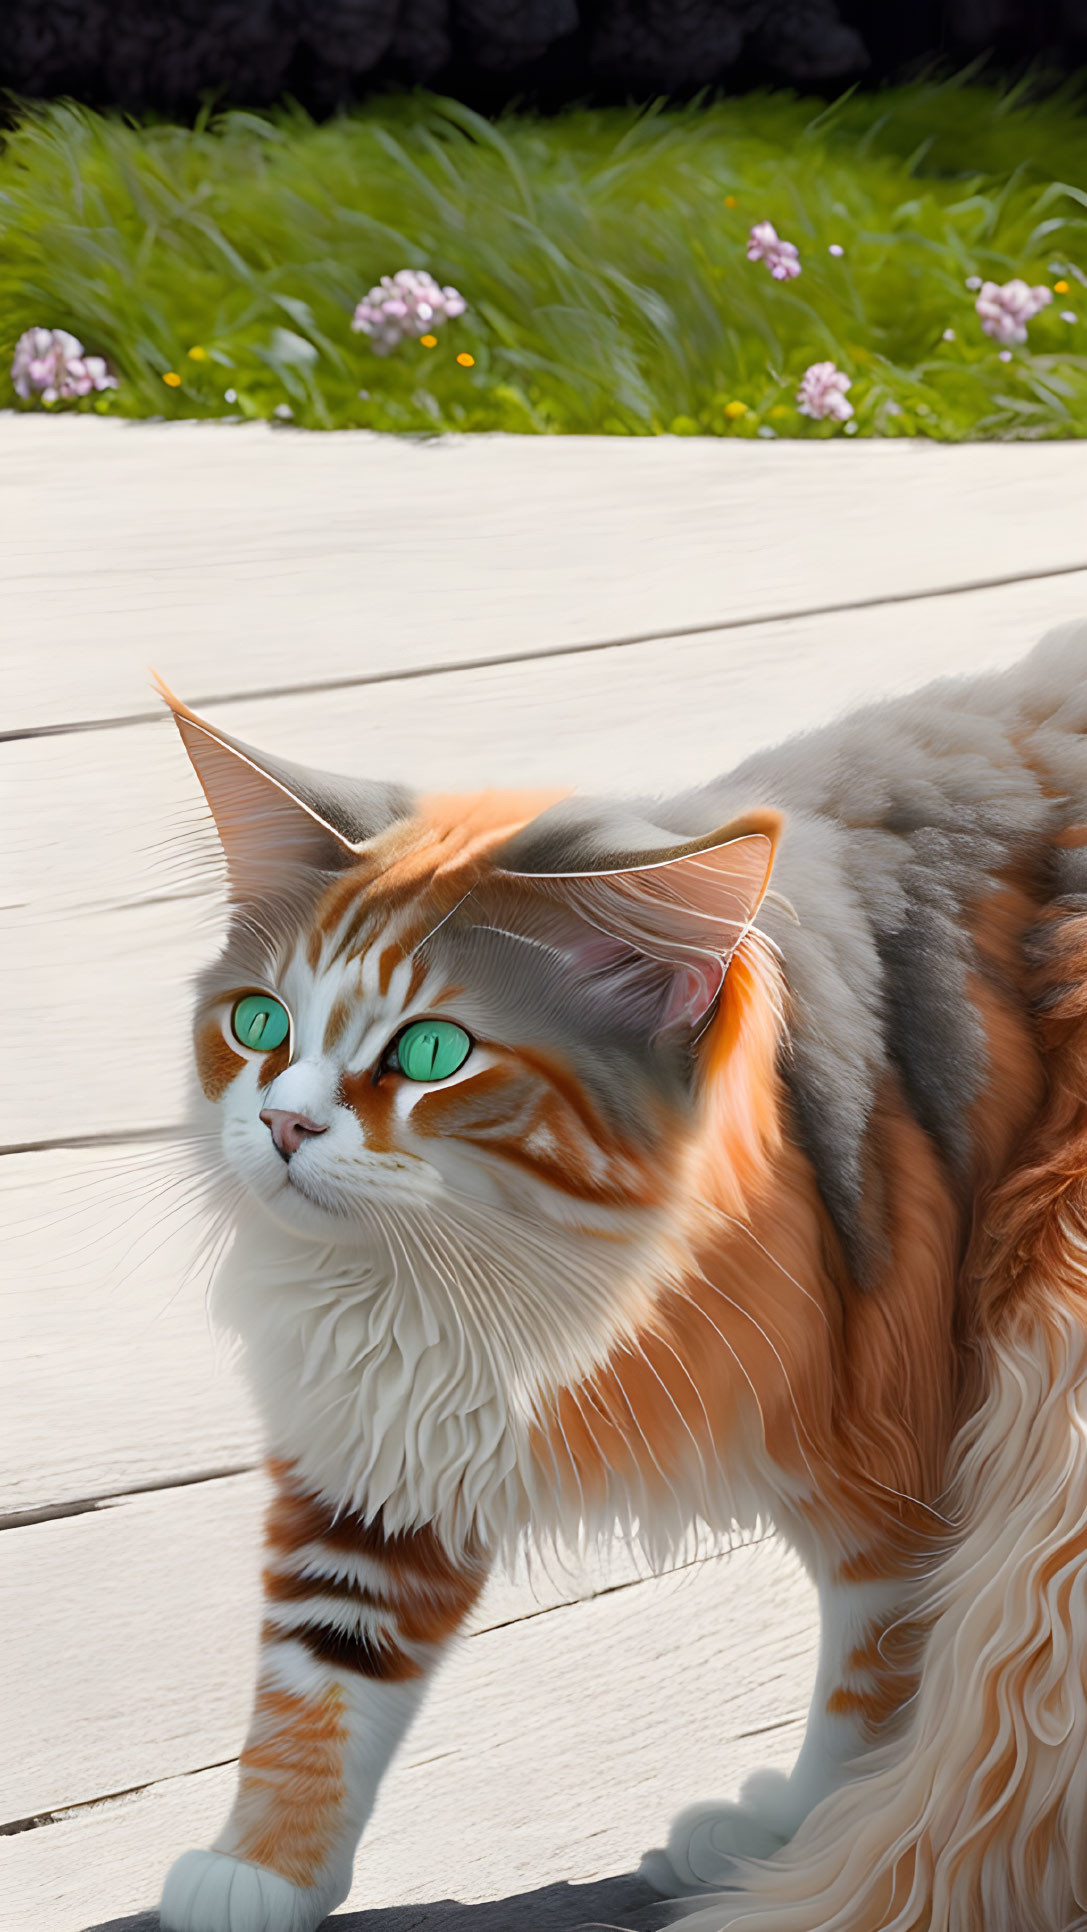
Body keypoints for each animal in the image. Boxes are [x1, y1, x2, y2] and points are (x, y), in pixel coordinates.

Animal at [161, 622, 1087, 1932]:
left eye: (431, 1051)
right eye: (258, 1026)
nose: (284, 1126)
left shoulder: (917, 1473)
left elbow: (880, 1699)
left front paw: (807, 1837)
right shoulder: (379, 1455)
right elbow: (320, 1675)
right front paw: (256, 1872)